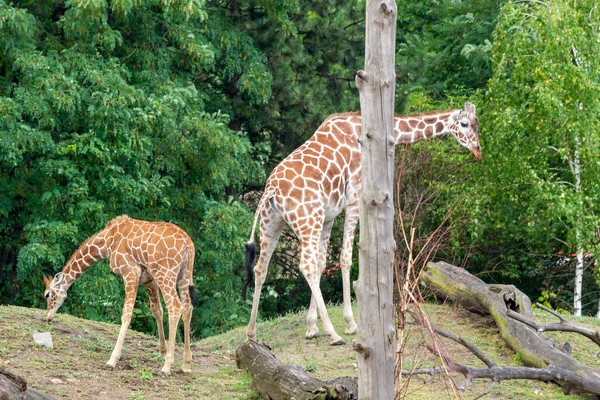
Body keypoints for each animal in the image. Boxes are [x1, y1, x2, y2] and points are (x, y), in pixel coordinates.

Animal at [42, 214, 197, 374]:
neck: (107, 241)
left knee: (175, 306)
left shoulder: (130, 271)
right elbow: (156, 310)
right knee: (187, 307)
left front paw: (112, 359)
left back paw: (167, 366)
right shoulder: (149, 279)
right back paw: (186, 364)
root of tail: (187, 244)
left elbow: (126, 314)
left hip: (165, 273)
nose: (48, 317)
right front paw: (162, 351)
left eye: (47, 295)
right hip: (184, 274)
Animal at [241, 103, 480, 344]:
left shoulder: (329, 215)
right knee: (305, 265)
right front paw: (350, 323)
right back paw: (333, 333)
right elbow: (345, 257)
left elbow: (322, 263)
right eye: (464, 123)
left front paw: (311, 327)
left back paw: (251, 333)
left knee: (262, 267)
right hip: (307, 219)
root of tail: (271, 189)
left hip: (273, 222)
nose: (478, 150)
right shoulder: (355, 197)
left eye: (477, 122)